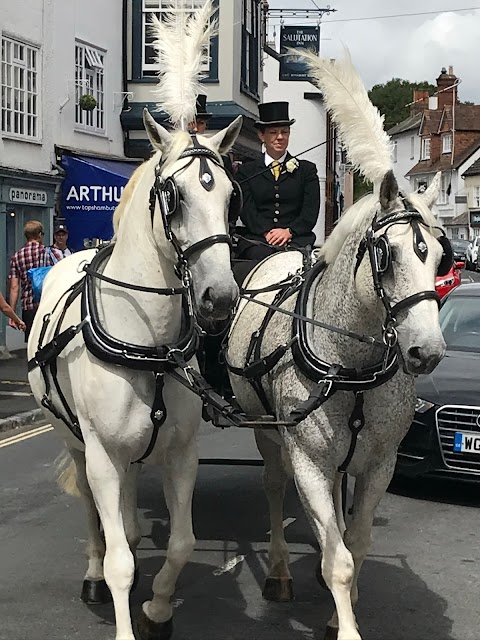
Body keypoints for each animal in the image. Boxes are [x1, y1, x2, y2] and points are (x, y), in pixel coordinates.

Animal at [227, 52, 448, 636]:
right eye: (387, 255)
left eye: (442, 257)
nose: (427, 353)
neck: (352, 364)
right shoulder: (309, 460)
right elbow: (338, 558)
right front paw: (342, 621)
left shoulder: (379, 463)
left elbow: (358, 543)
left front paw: (337, 611)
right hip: (269, 433)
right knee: (275, 488)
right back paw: (280, 571)